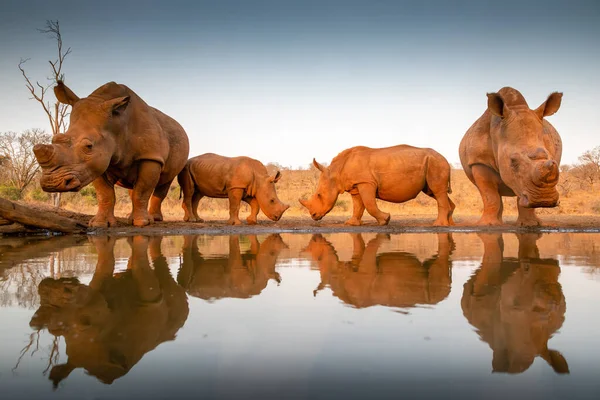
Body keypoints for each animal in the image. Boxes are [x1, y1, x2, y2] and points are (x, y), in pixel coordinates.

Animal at [300, 145, 454, 227]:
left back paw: (438, 225)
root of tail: (445, 158)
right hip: (433, 163)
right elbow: (358, 206)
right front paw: (351, 224)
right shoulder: (356, 185)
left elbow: (369, 204)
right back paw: (450, 224)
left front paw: (385, 220)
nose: (313, 216)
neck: (336, 172)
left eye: (319, 195)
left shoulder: (366, 182)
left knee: (437, 191)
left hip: (436, 163)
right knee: (435, 192)